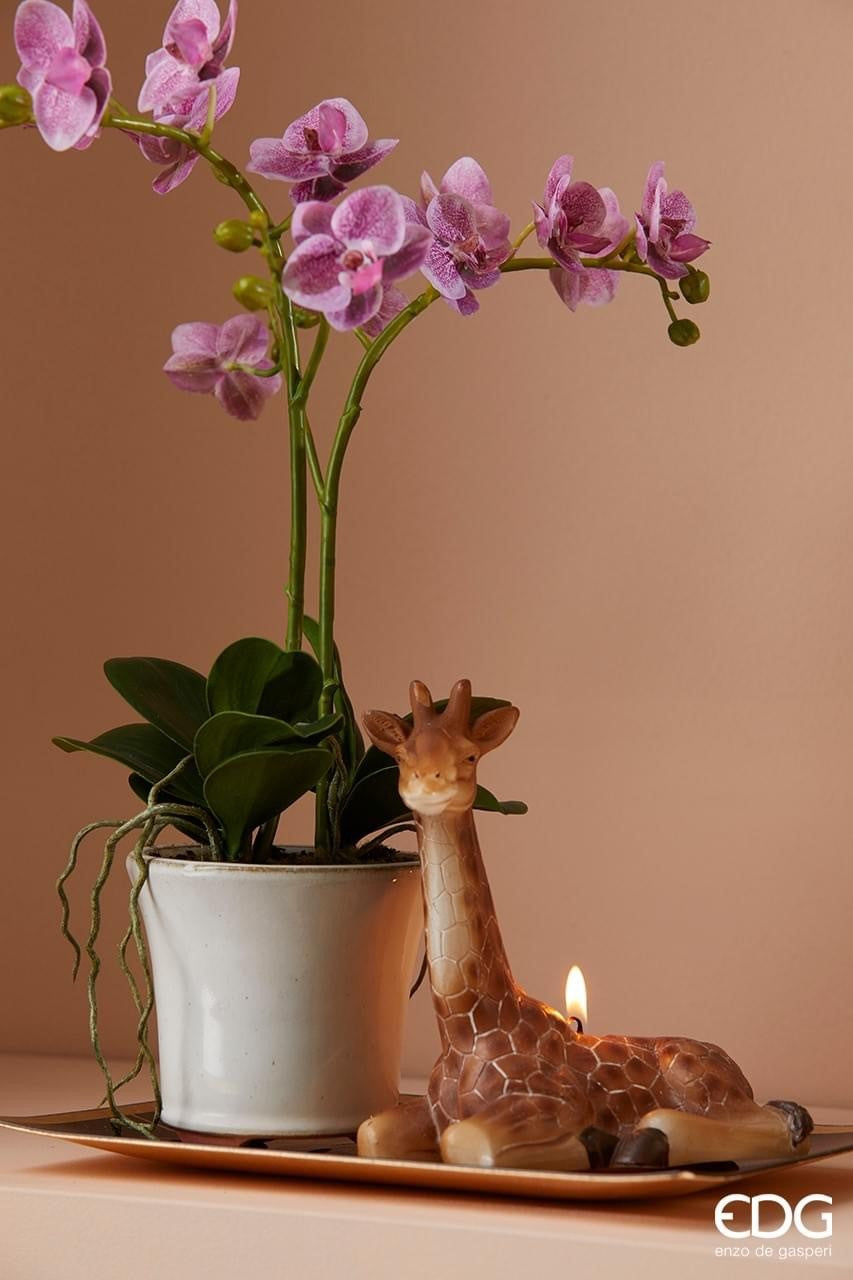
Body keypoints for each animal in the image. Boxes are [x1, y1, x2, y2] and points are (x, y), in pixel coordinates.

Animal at [356, 679, 813, 1171]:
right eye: (403, 756)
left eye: (470, 755)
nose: (428, 785)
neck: (464, 1024)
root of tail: (736, 1070)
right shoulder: (431, 1107)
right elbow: (371, 1132)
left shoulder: (556, 1102)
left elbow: (466, 1141)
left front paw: (588, 1142)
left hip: (701, 1085)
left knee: (777, 1122)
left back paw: (636, 1139)